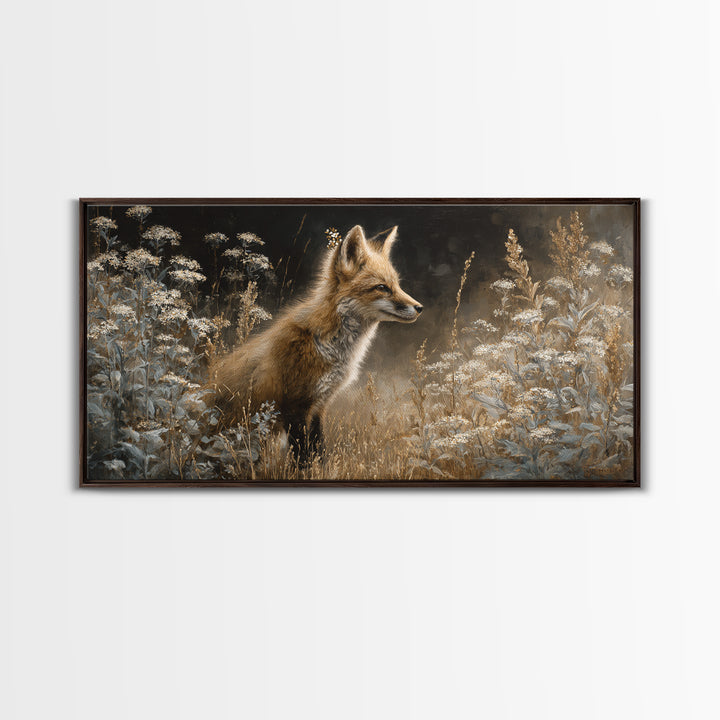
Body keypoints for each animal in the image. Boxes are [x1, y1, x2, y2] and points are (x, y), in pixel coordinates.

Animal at [212, 224, 423, 463]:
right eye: (382, 287)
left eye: (397, 285)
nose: (419, 307)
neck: (327, 345)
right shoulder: (295, 406)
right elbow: (303, 457)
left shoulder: (319, 405)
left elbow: (318, 451)